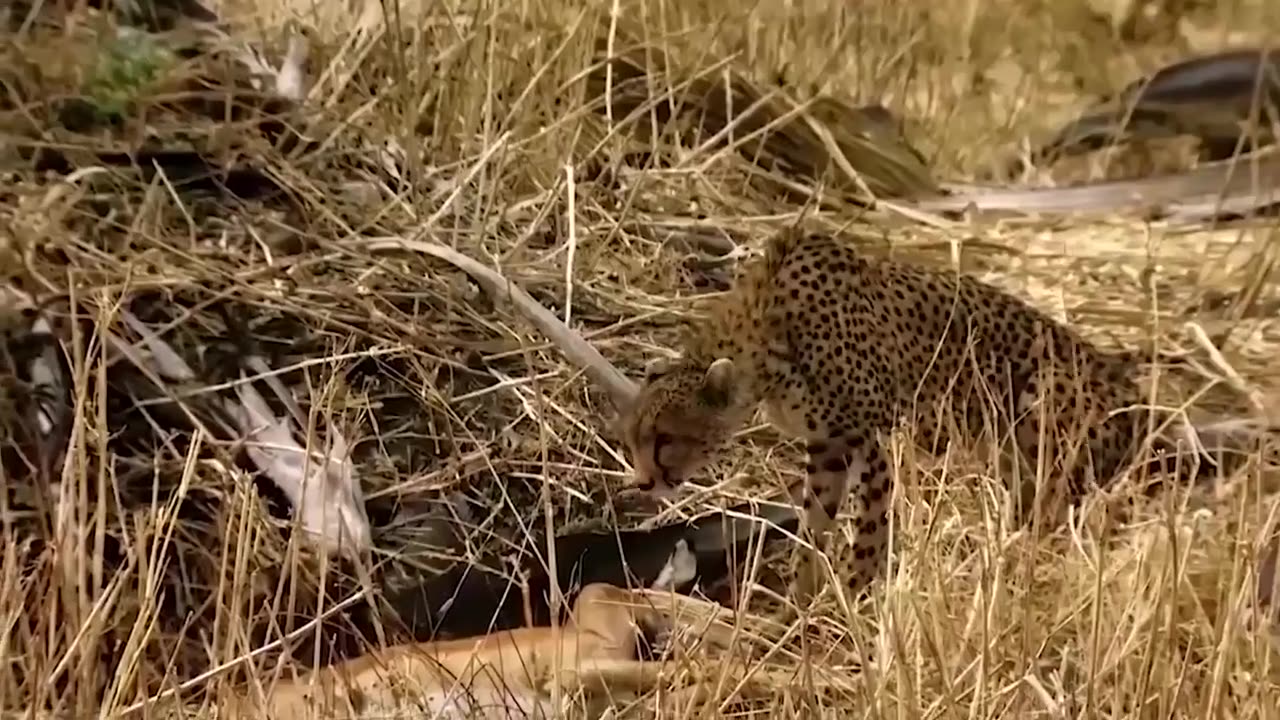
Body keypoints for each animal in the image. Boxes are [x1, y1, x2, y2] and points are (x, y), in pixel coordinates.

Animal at [616, 226, 1198, 597]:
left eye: (665, 440)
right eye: (631, 441)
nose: (644, 483)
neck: (767, 341)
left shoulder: (870, 439)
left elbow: (871, 527)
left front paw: (853, 592)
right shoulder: (828, 448)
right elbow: (815, 524)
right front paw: (802, 593)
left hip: (1044, 407)